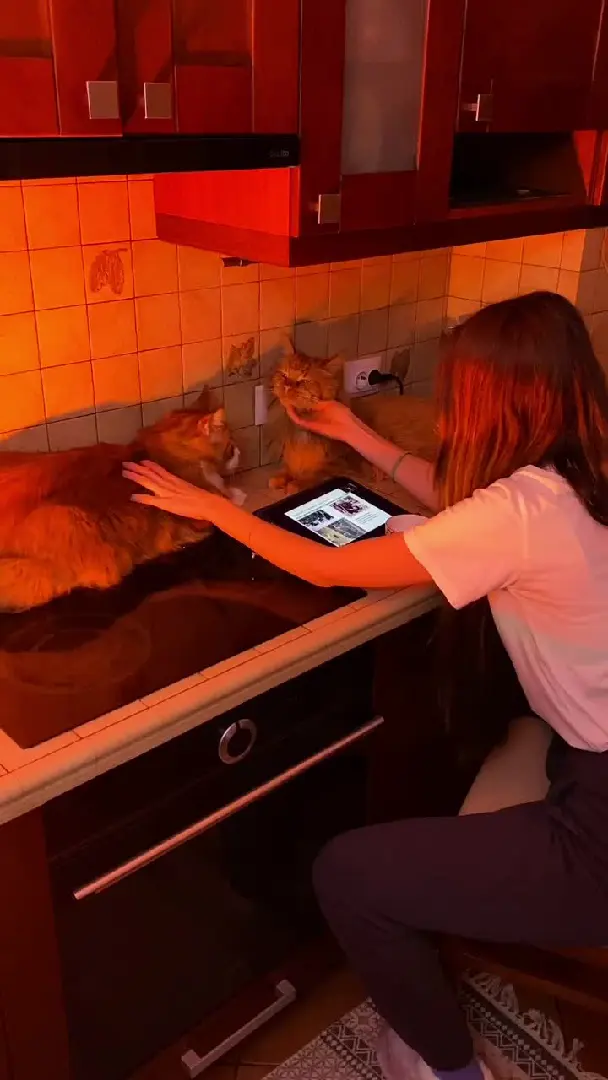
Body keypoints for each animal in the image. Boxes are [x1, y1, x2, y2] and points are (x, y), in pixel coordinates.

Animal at [267, 342, 438, 493]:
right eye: (284, 375)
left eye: (303, 381)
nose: (287, 385)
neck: (301, 433)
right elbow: (289, 470)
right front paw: (281, 478)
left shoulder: (342, 465)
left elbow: (317, 474)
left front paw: (296, 484)